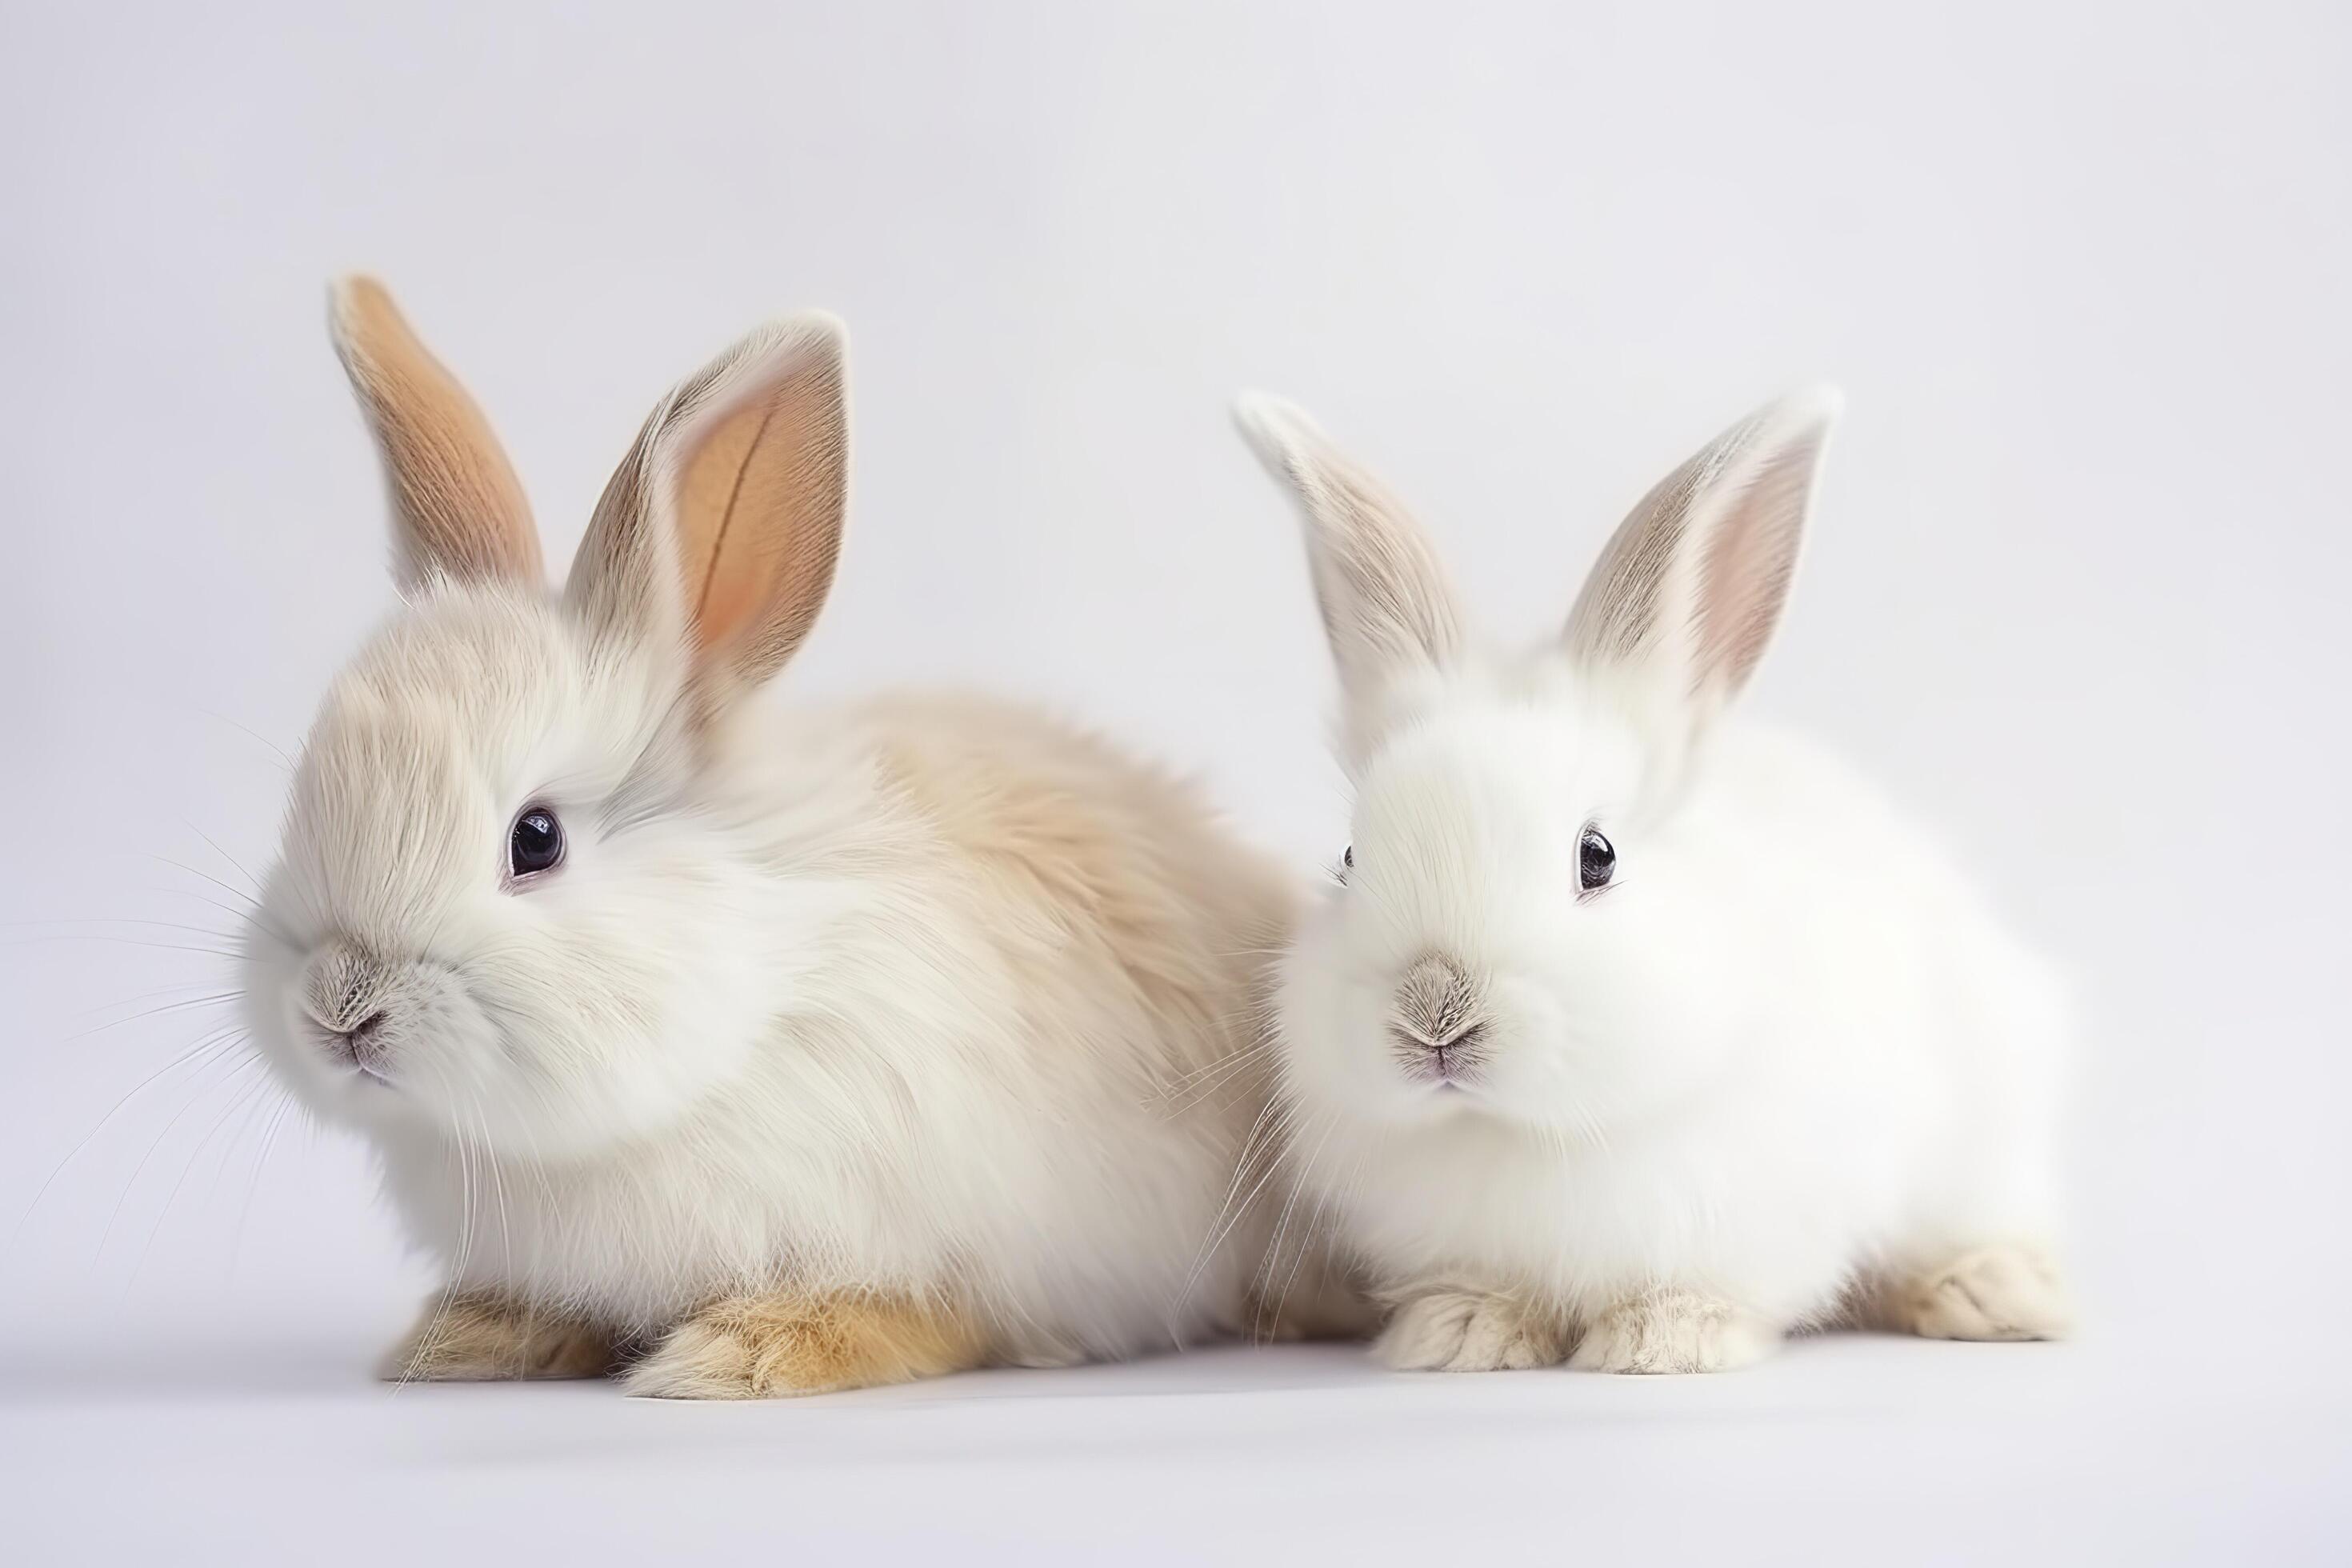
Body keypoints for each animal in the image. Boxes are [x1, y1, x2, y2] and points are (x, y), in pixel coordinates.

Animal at [1242, 382, 2070, 1373]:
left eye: (1595, 856)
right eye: (1350, 857)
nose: (1433, 1014)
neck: (1525, 1131)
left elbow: (1699, 1289)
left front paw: (1662, 1342)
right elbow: (1483, 1288)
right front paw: (1459, 1334)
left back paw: (1996, 1294)